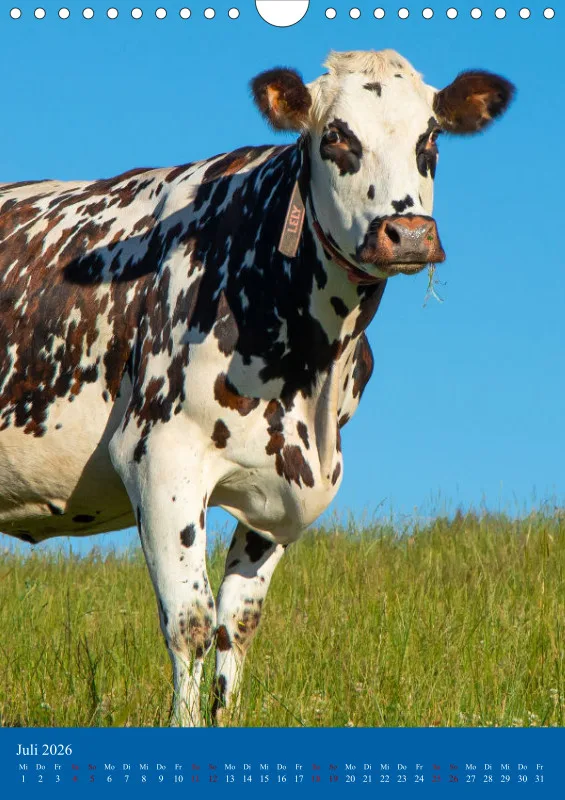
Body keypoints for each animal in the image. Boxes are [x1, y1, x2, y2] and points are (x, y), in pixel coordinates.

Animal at [0, 50, 514, 726]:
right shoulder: (158, 457)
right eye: (336, 136)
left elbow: (235, 625)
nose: (407, 232)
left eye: (430, 138)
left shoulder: (282, 487)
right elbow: (190, 623)